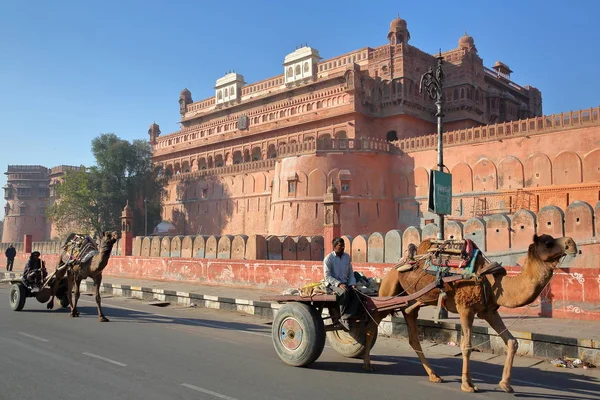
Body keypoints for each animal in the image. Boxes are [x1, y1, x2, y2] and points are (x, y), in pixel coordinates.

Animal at [360, 234, 576, 394]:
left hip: (412, 301)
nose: (571, 243)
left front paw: (505, 384)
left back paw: (434, 375)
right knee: (372, 323)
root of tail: (396, 266)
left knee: (412, 335)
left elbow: (512, 342)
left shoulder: (489, 311)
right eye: (548, 242)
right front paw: (468, 385)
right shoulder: (465, 307)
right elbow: (466, 346)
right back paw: (367, 364)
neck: (491, 280)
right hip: (388, 290)